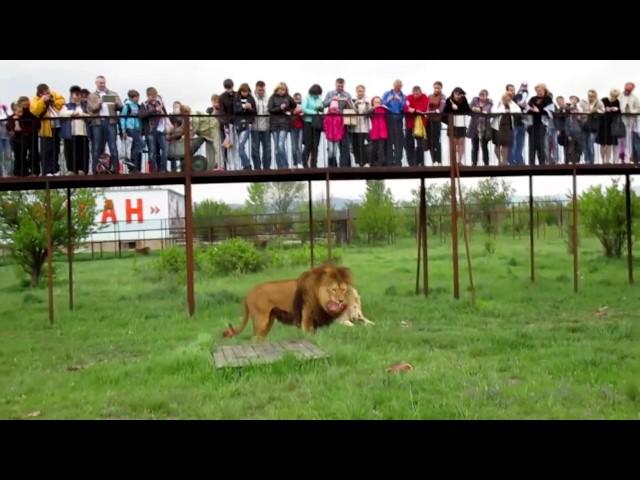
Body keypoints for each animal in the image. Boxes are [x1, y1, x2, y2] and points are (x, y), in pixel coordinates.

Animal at [222, 264, 356, 340]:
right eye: (333, 290)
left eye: (343, 289)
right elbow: (308, 335)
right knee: (254, 339)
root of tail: (249, 293)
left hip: (268, 322)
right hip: (261, 321)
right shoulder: (306, 319)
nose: (341, 300)